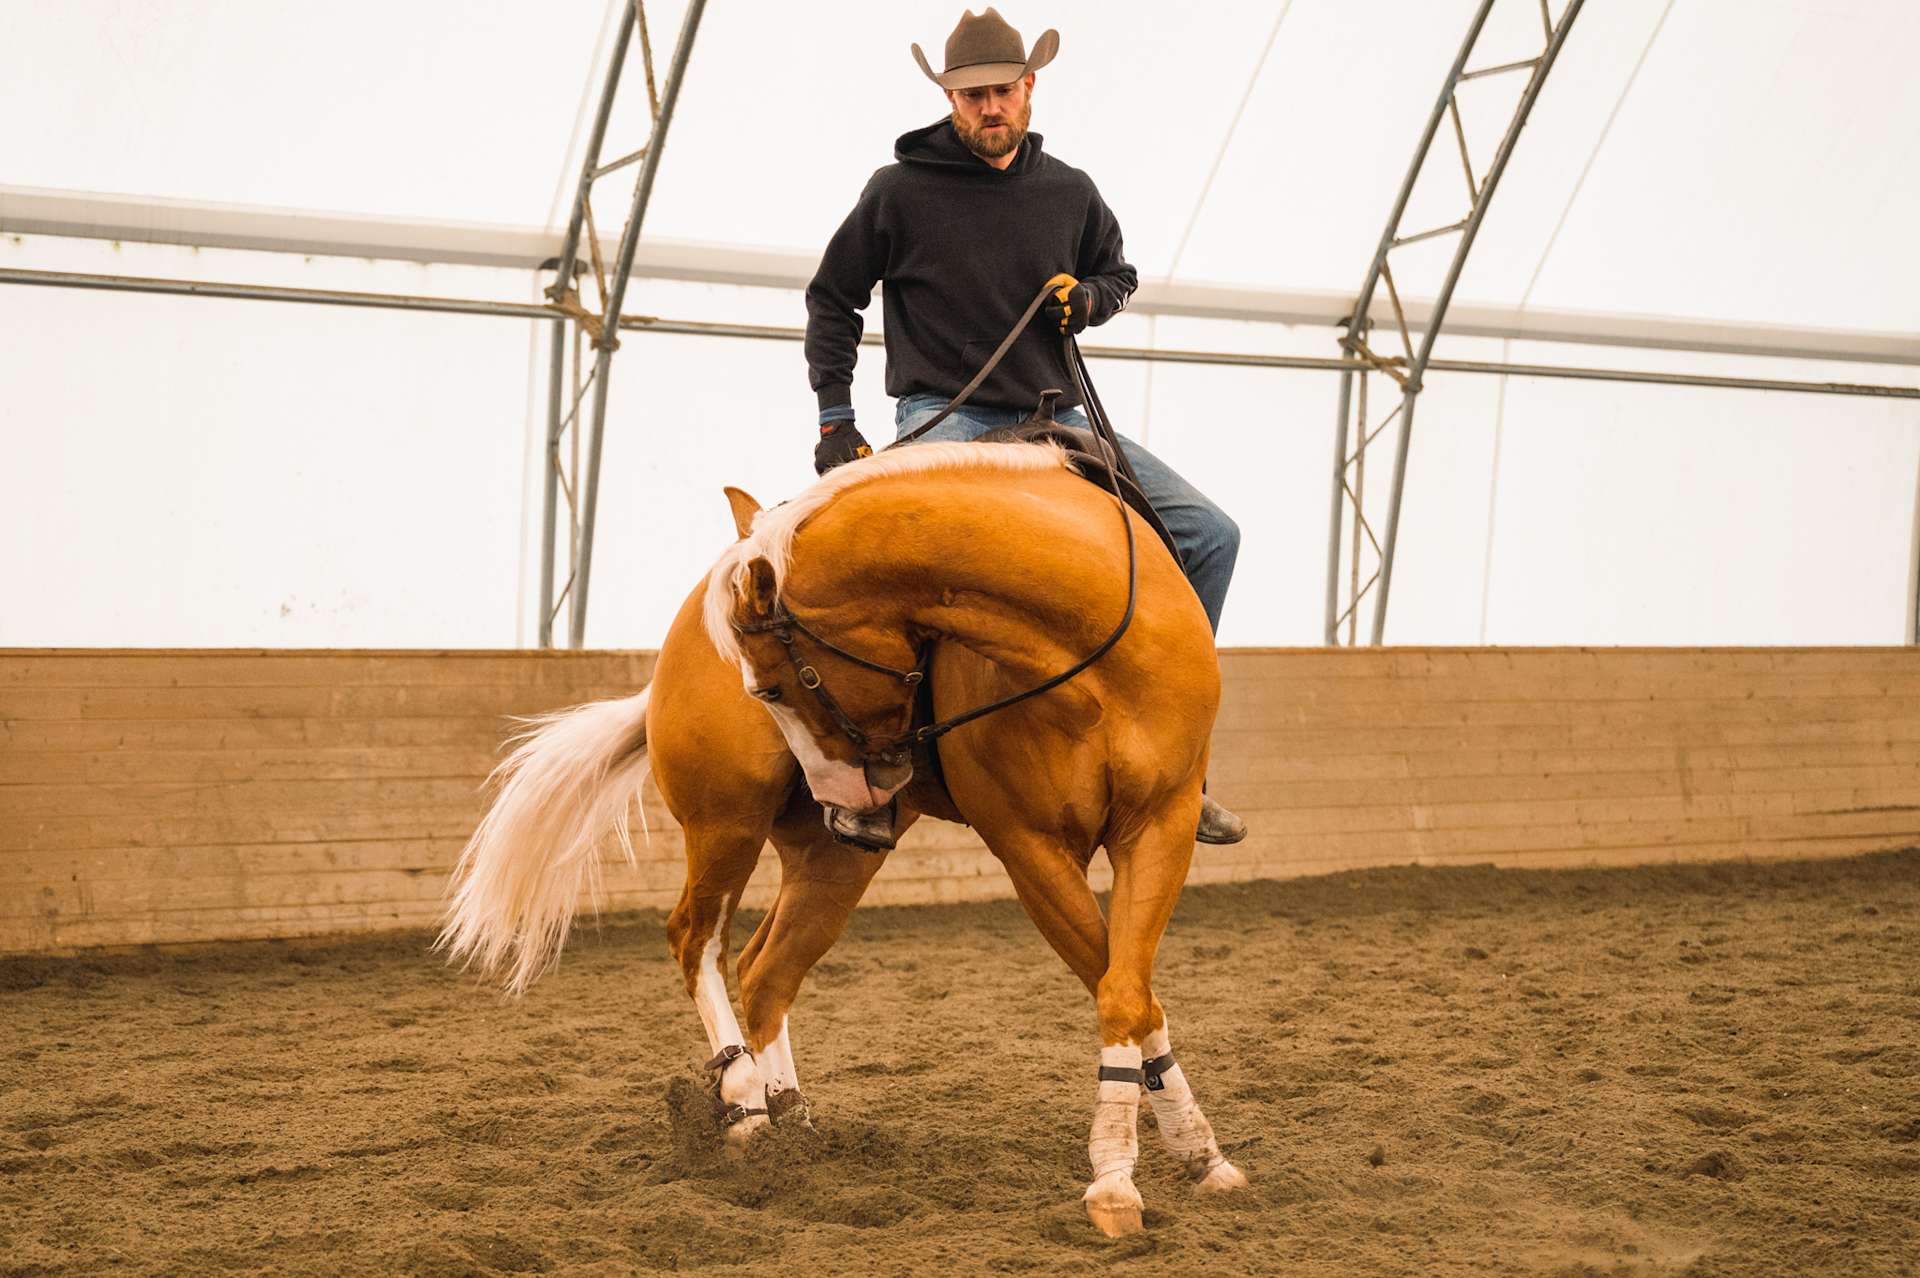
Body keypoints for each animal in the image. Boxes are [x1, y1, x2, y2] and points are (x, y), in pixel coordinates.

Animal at [438, 439, 1247, 1236]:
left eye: (770, 685)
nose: (837, 797)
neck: (1089, 648)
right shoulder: (1030, 849)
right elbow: (1120, 988)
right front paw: (1116, 1178)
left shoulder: (1163, 823)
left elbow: (1131, 990)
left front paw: (1199, 1156)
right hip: (726, 825)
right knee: (696, 938)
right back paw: (743, 1102)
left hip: (829, 861)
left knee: (767, 970)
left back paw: (790, 1123)